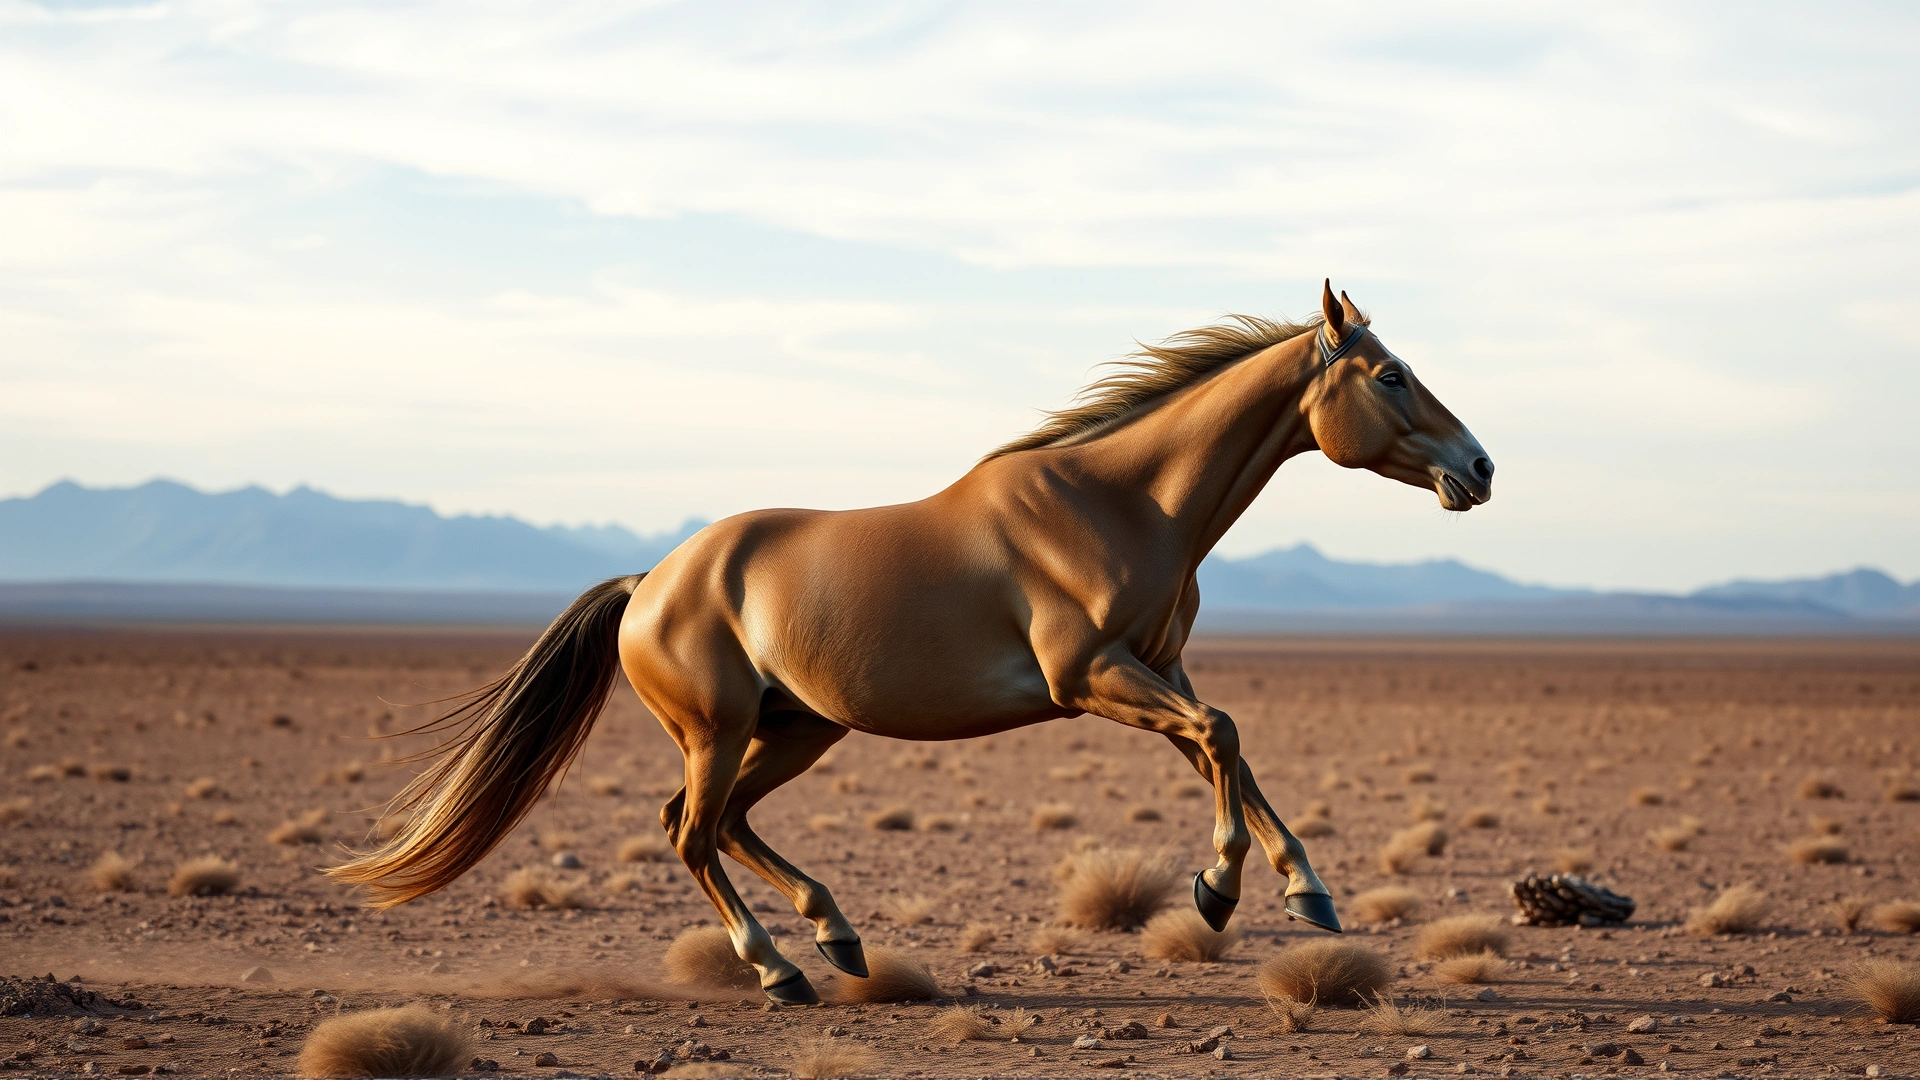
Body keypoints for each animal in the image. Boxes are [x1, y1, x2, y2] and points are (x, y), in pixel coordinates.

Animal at [327, 281, 1494, 1005]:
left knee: (720, 822)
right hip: (720, 728)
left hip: (798, 728)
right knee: (692, 832)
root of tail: (648, 584)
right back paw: (782, 972)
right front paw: (1218, 890)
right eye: (1389, 375)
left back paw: (836, 939)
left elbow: (1229, 744)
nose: (1478, 468)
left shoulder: (1154, 668)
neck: (1121, 501)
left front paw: (1304, 892)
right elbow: (1222, 736)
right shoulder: (1092, 677)